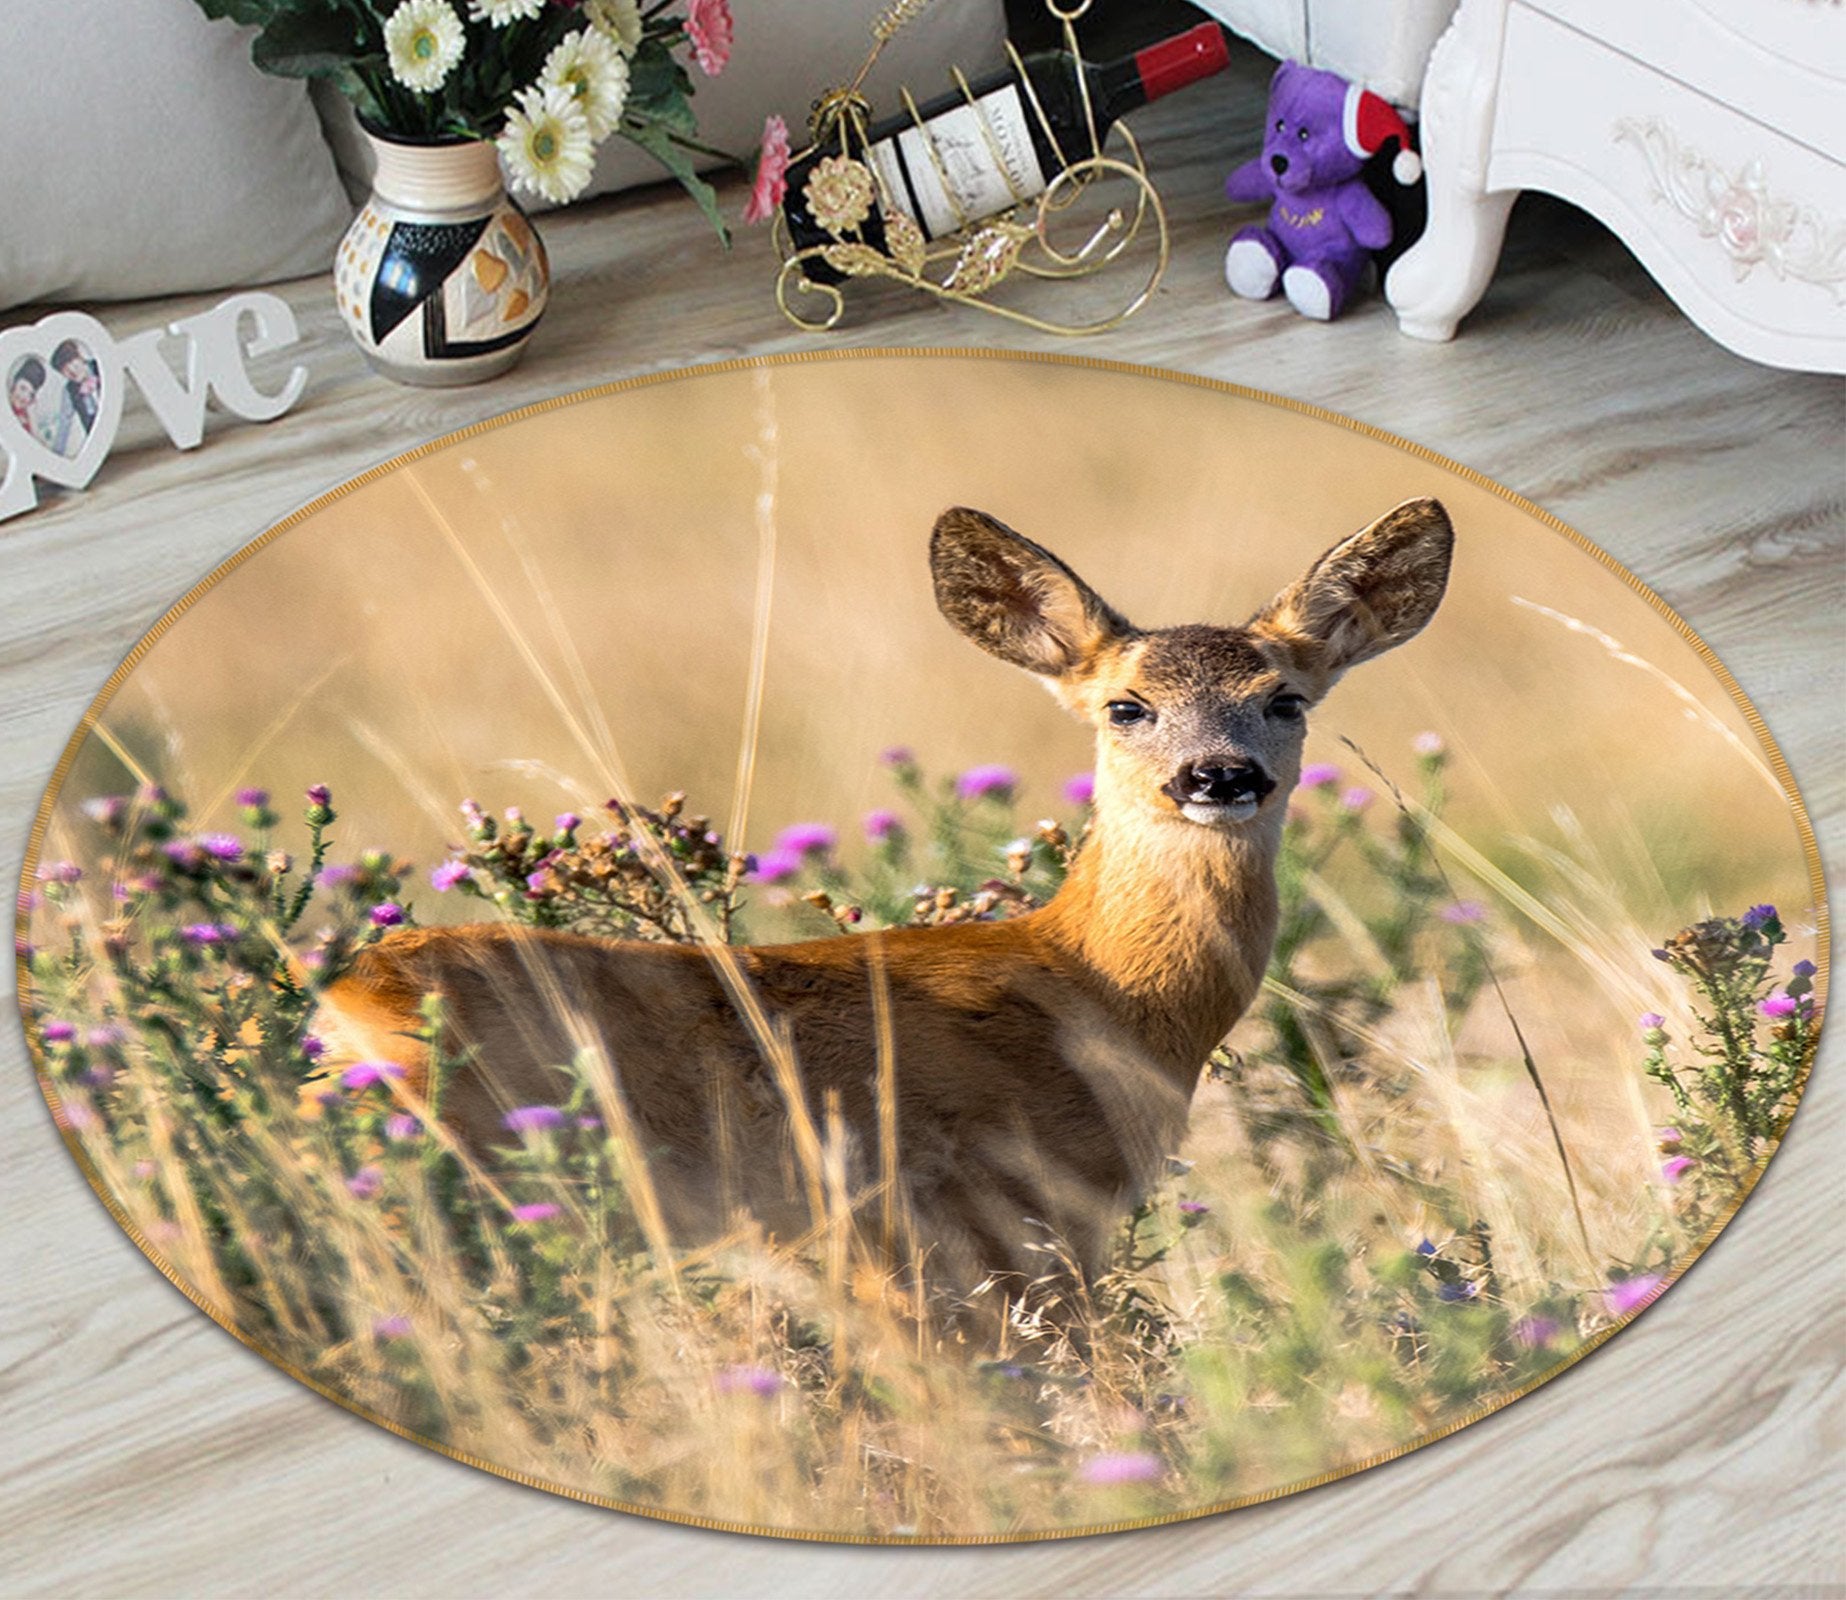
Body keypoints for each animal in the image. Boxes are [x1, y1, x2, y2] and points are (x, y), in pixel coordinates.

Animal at [313, 497, 1453, 1314]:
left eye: (1285, 698)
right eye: (1125, 706)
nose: (1218, 776)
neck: (1099, 994)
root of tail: (336, 1001)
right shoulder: (984, 1223)